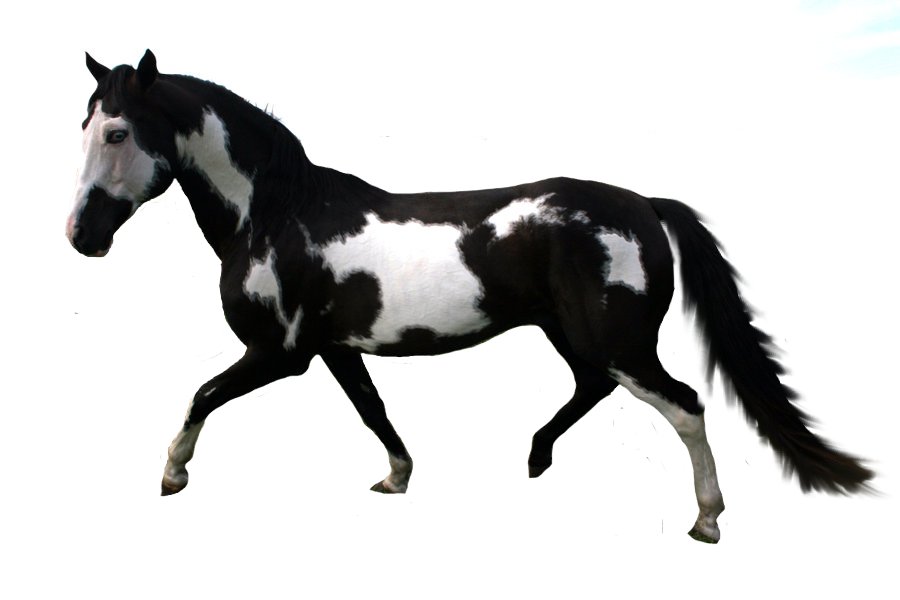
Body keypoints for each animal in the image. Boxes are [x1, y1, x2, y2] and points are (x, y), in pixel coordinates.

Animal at [66, 50, 873, 543]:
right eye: (82, 125)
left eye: (117, 131)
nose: (80, 235)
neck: (274, 213)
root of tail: (644, 204)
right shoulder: (333, 348)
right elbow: (372, 410)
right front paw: (395, 478)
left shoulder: (279, 352)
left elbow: (202, 393)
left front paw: (172, 476)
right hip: (574, 336)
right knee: (593, 389)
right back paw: (536, 459)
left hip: (618, 342)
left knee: (685, 406)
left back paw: (706, 521)